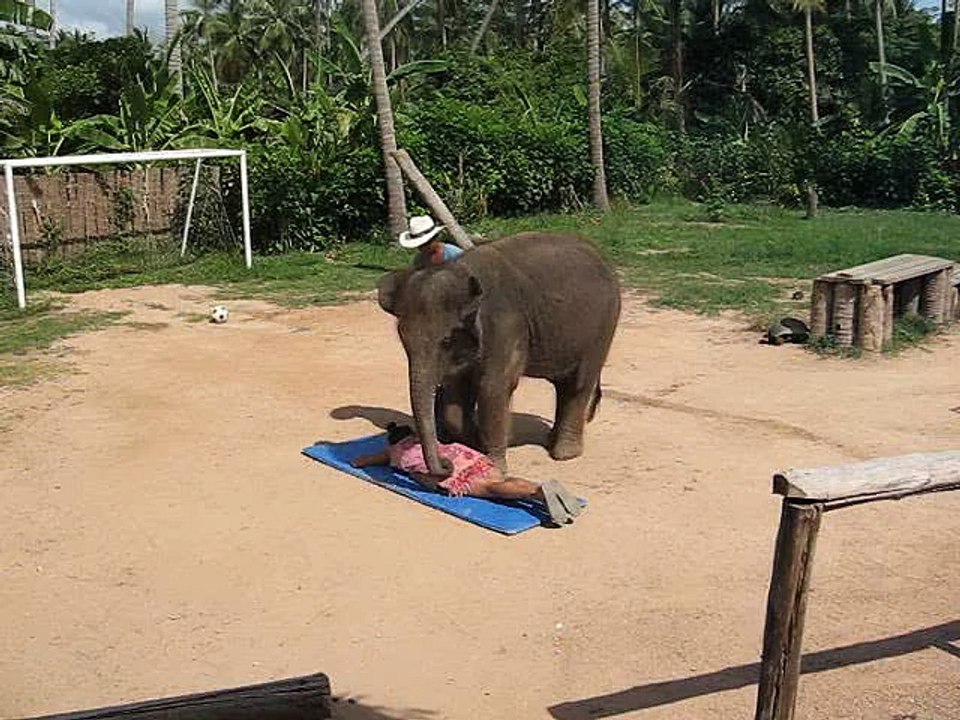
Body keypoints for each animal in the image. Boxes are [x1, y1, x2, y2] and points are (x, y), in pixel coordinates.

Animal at [377, 231, 621, 476]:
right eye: (403, 339)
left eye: (445, 340)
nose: (447, 464)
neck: (461, 272)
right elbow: (455, 394)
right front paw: (473, 446)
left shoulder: (505, 326)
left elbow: (492, 388)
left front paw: (493, 467)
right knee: (564, 384)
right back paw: (552, 438)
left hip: (603, 326)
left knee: (579, 383)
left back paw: (564, 453)